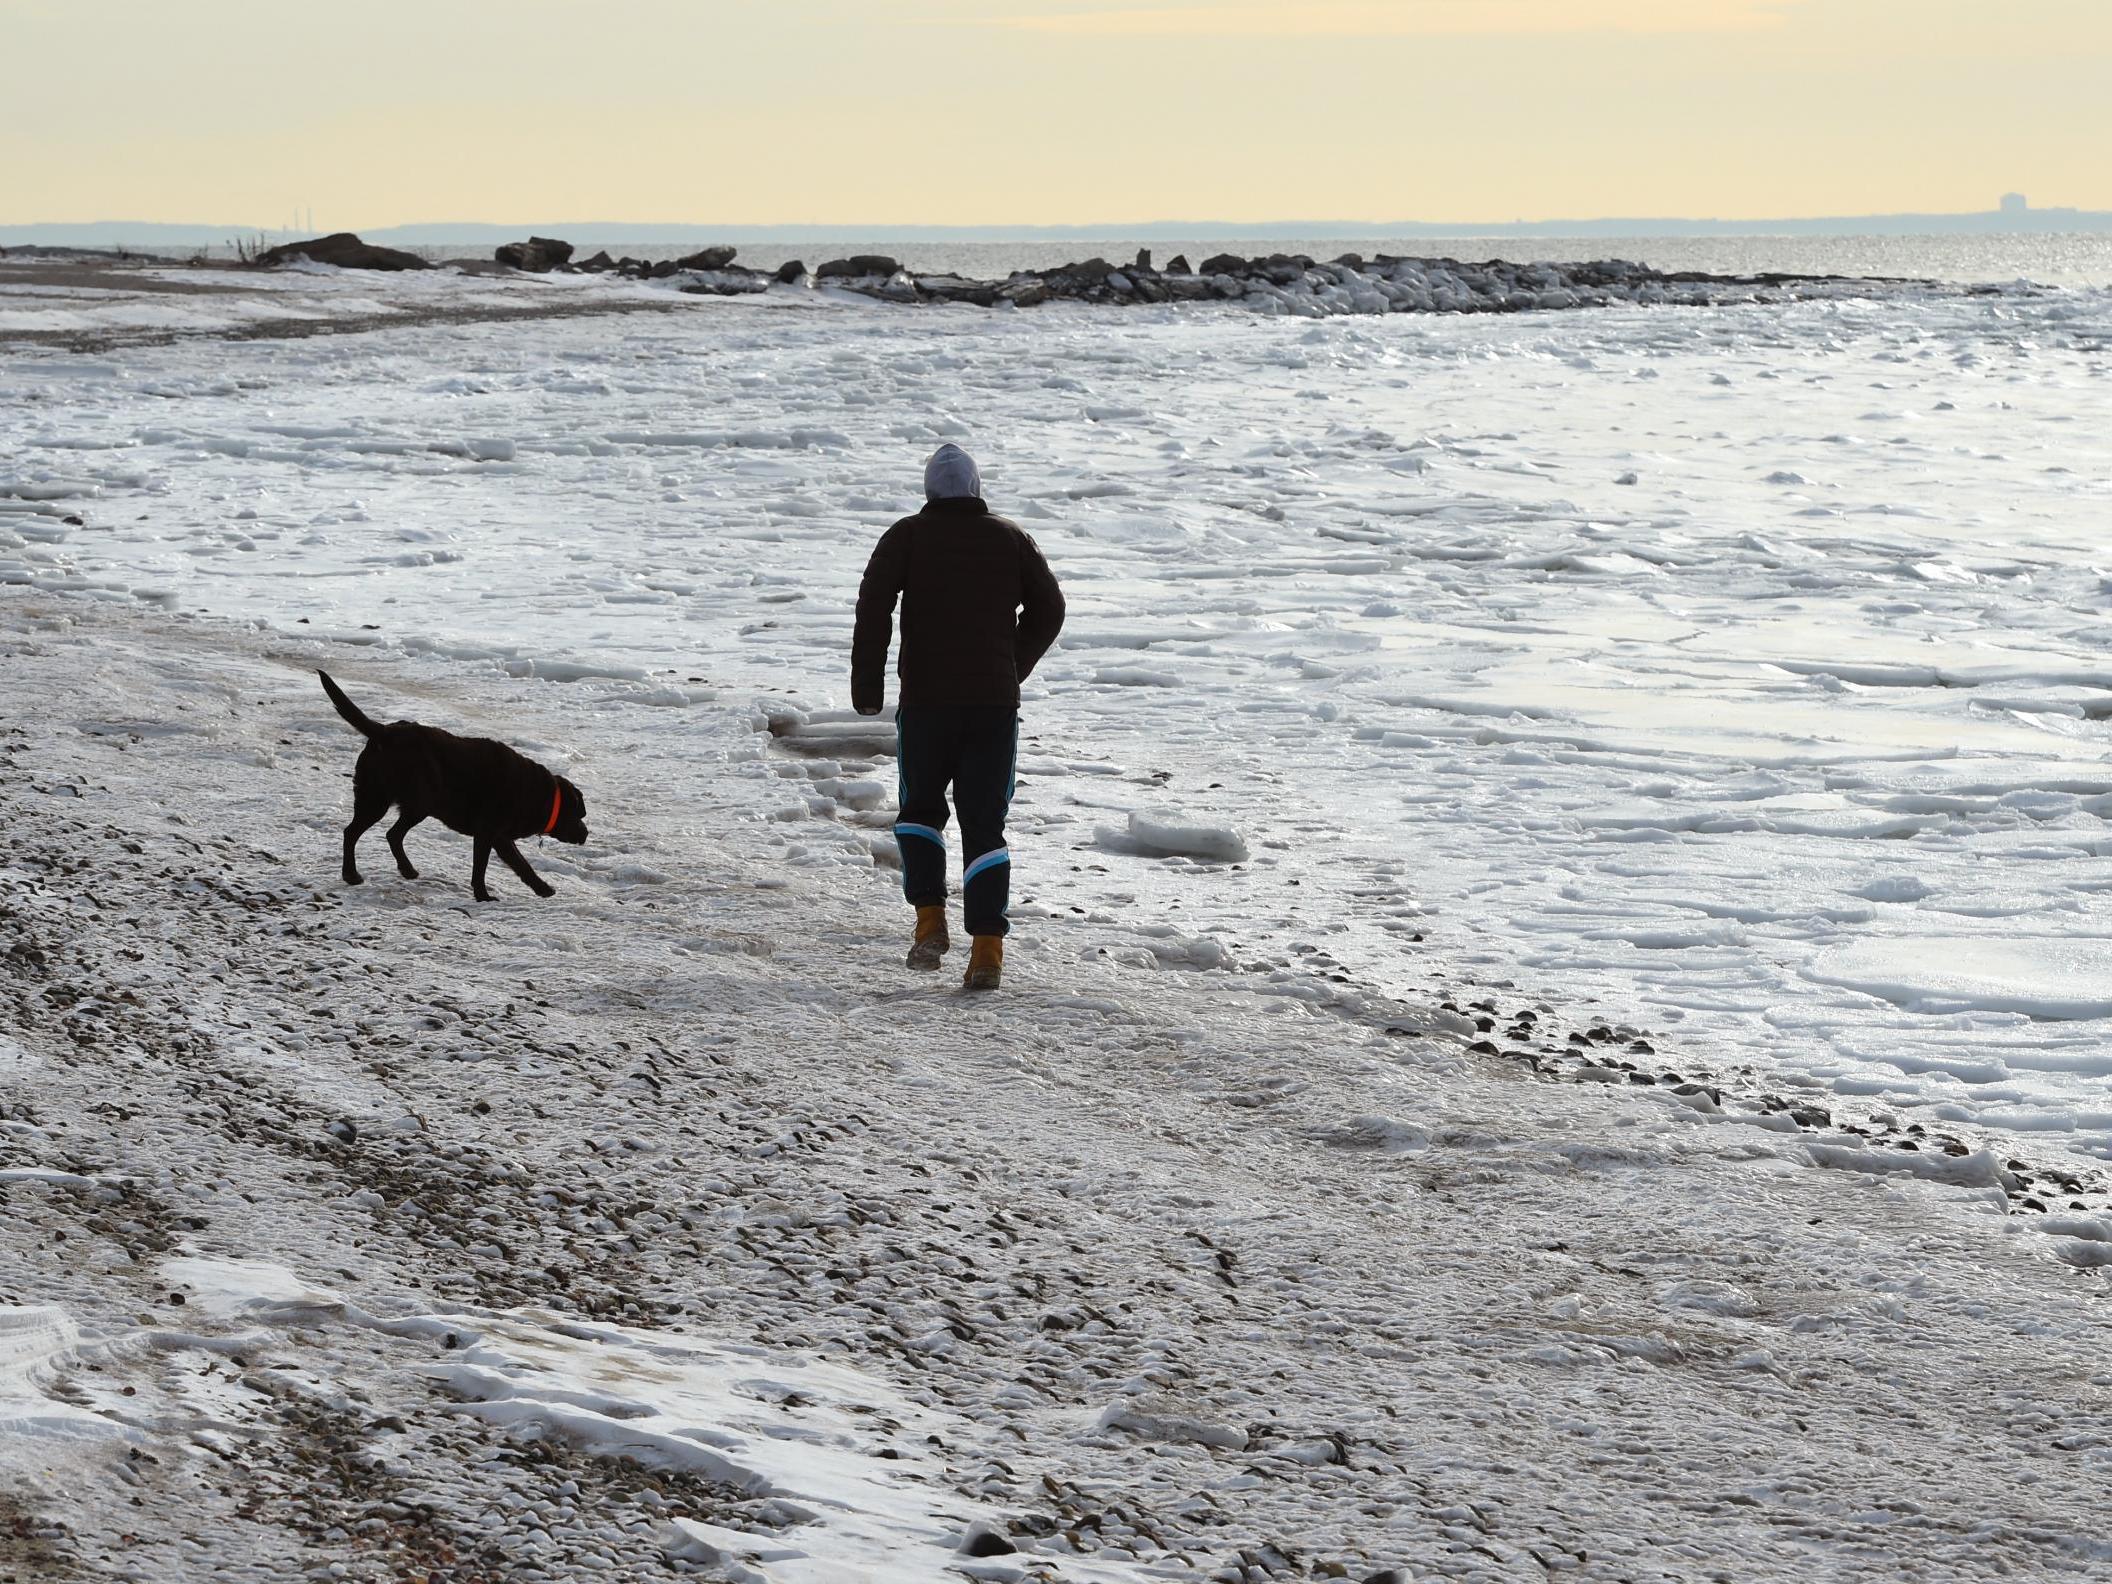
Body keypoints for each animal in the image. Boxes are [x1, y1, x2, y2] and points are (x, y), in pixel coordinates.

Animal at [316, 671, 591, 903]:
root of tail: (384, 732)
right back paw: (352, 874)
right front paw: (485, 896)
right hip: (391, 801)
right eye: (579, 814)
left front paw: (539, 889)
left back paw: (406, 870)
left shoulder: (497, 837)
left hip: (403, 802)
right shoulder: (490, 833)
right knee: (354, 833)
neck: (538, 794)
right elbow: (495, 867)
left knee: (390, 834)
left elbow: (518, 864)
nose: (586, 833)